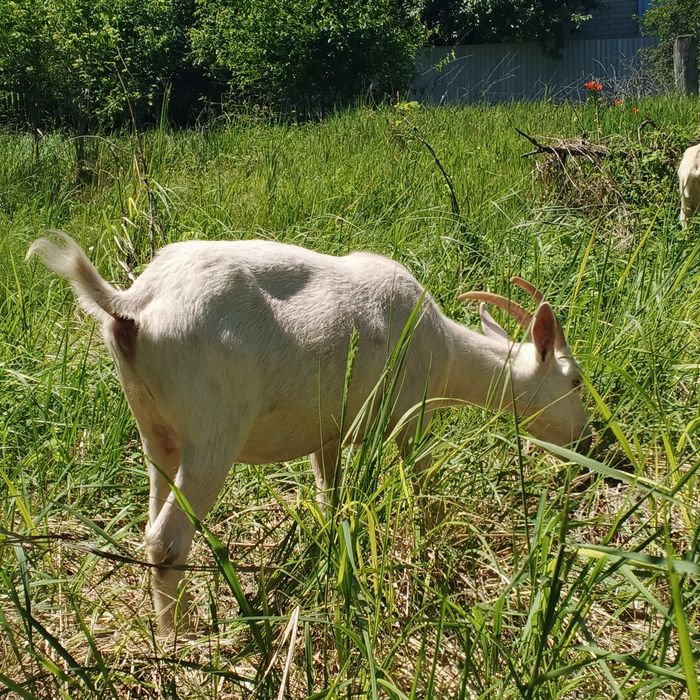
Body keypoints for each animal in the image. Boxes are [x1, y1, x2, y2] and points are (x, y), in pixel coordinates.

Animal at [28, 232, 591, 633]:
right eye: (577, 379)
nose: (588, 446)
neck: (446, 350)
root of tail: (133, 302)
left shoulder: (328, 435)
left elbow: (330, 495)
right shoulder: (410, 417)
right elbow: (423, 485)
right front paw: (440, 545)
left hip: (155, 431)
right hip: (214, 432)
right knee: (167, 538)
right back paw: (181, 641)